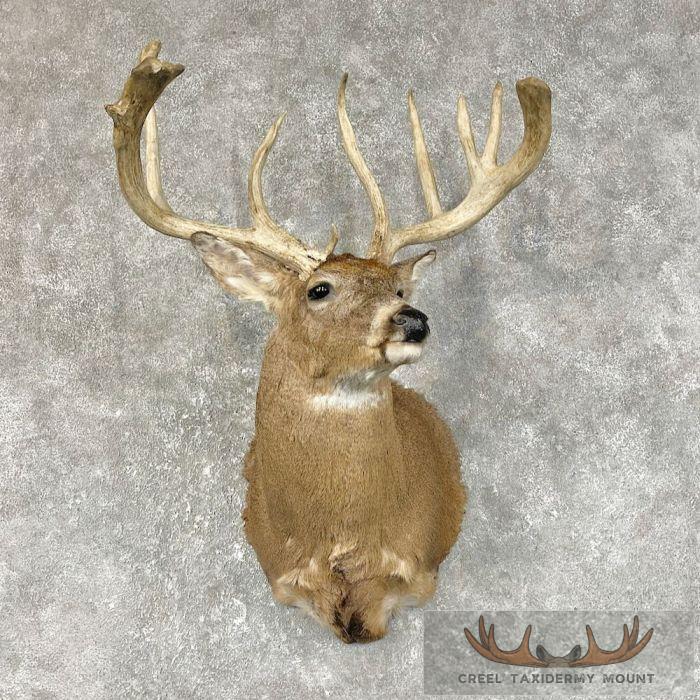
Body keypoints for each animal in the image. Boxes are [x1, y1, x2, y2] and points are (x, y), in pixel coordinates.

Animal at [106, 41, 551, 643]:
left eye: (398, 286)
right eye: (319, 289)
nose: (412, 319)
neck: (344, 544)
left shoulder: (415, 574)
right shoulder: (284, 577)